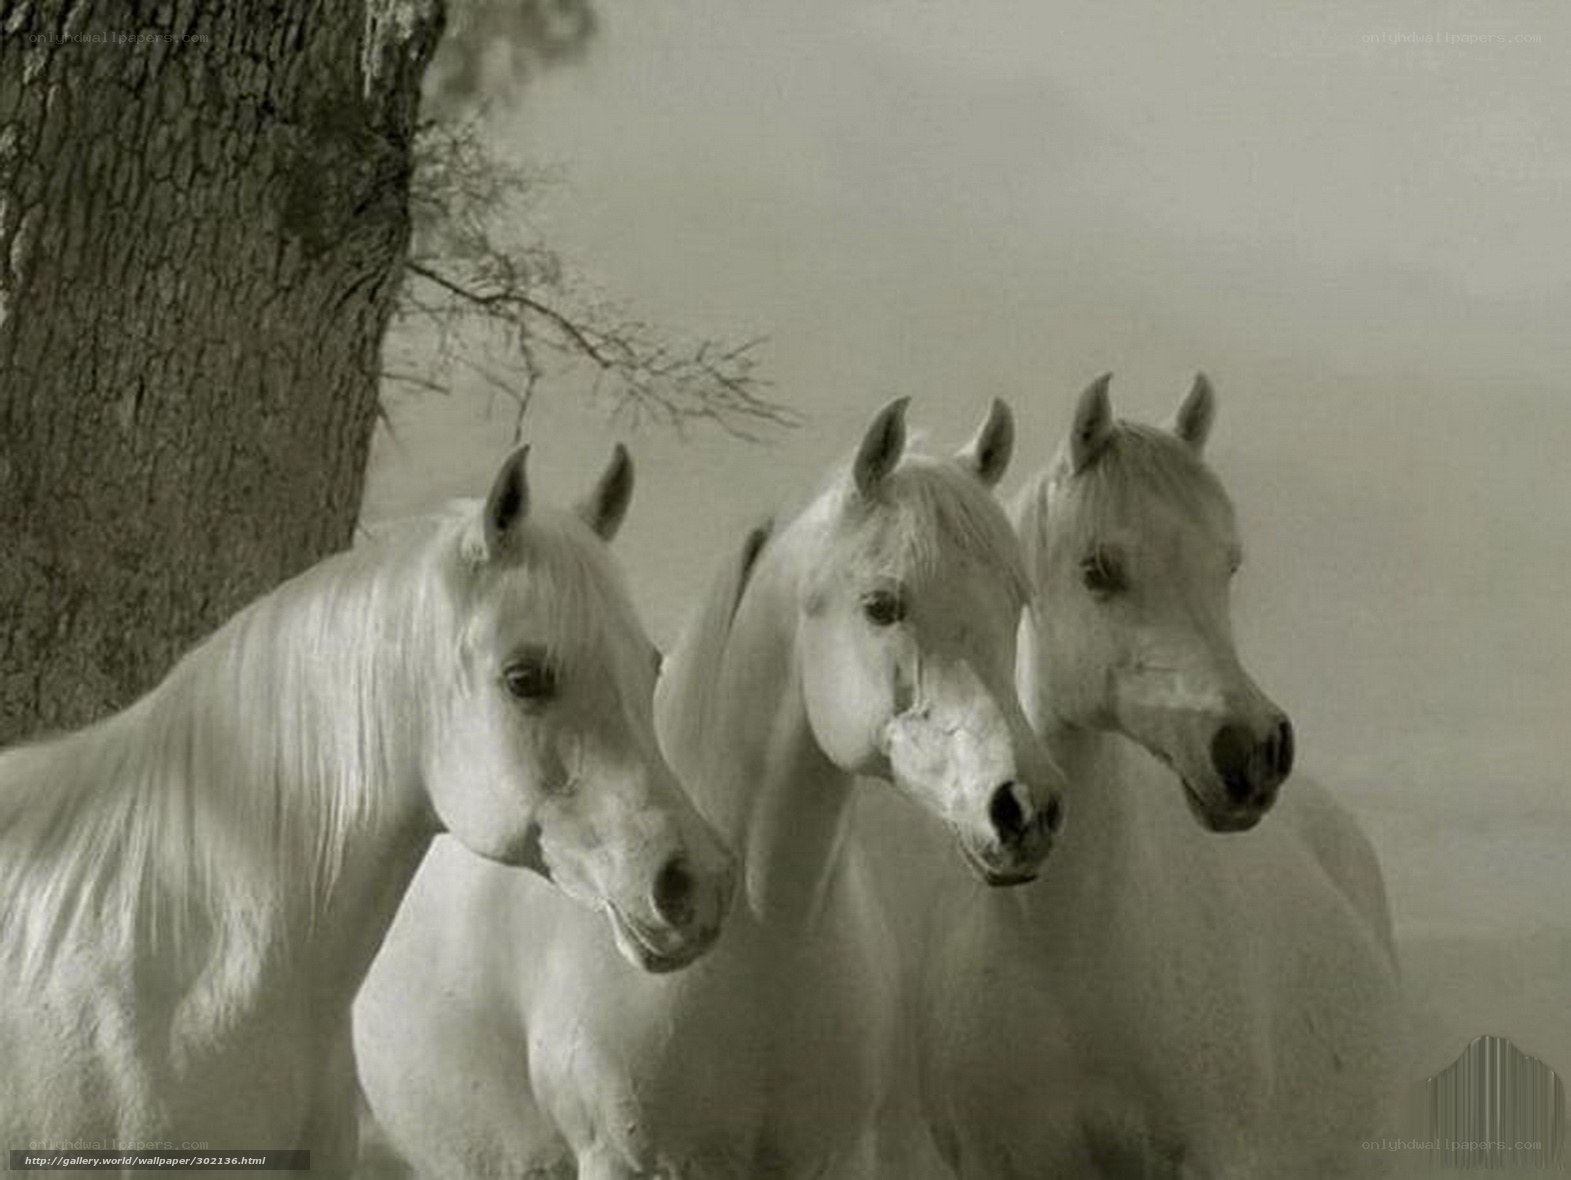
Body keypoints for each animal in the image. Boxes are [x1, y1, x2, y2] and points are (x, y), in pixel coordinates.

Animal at [352, 398, 1066, 1179]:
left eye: (1013, 599)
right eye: (883, 605)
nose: (1023, 807)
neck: (765, 942)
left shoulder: (829, 1158)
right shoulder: (625, 1161)